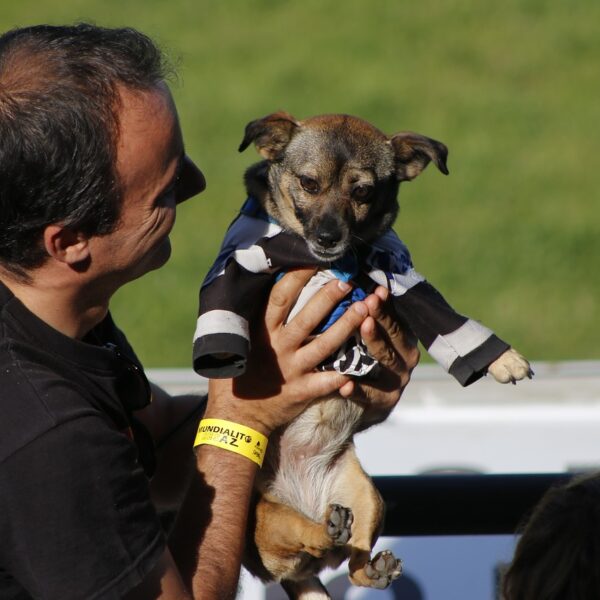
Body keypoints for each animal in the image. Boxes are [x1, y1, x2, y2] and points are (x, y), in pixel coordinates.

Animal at [195, 111, 532, 596]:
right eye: (309, 183)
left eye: (362, 193)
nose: (328, 235)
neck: (328, 262)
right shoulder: (241, 264)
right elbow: (223, 306)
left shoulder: (401, 278)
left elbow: (446, 319)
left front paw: (504, 360)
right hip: (268, 519)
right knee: (310, 537)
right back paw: (325, 529)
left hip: (367, 497)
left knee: (351, 561)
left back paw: (368, 561)